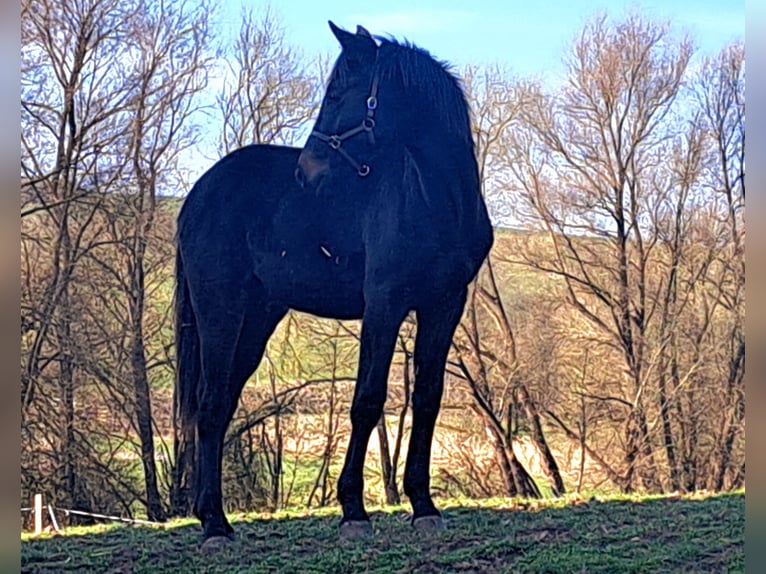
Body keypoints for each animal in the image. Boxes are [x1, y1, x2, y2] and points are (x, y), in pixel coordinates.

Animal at [174, 22, 493, 548]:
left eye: (338, 93)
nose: (306, 171)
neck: (434, 199)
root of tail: (201, 191)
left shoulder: (444, 305)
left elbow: (427, 398)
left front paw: (423, 506)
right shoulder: (384, 304)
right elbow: (367, 401)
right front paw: (353, 511)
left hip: (256, 320)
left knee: (221, 406)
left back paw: (209, 516)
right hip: (220, 312)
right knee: (211, 402)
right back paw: (215, 524)